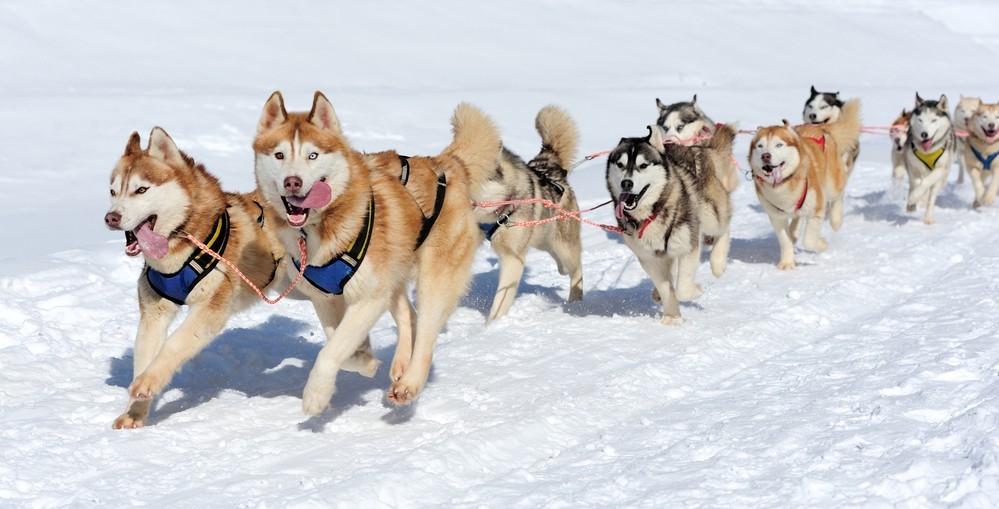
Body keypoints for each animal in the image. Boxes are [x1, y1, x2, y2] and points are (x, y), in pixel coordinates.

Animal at [104, 126, 286, 424]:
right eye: (113, 191)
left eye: (141, 189)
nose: (111, 218)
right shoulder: (154, 313)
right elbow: (144, 357)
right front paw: (135, 411)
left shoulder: (209, 310)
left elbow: (173, 345)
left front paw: (148, 381)